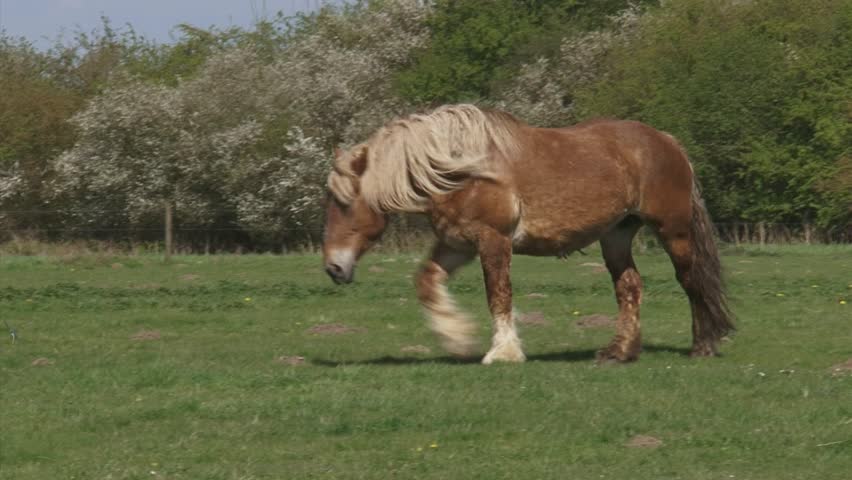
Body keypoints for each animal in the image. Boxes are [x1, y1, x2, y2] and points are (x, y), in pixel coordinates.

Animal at [322, 104, 734, 364]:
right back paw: (619, 351)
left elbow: (499, 295)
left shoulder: (493, 240)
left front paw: (503, 352)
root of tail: (667, 141)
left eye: (344, 202)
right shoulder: (457, 244)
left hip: (673, 230)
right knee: (629, 287)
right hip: (616, 235)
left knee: (692, 281)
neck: (459, 171)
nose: (333, 268)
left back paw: (703, 345)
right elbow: (426, 282)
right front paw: (457, 337)